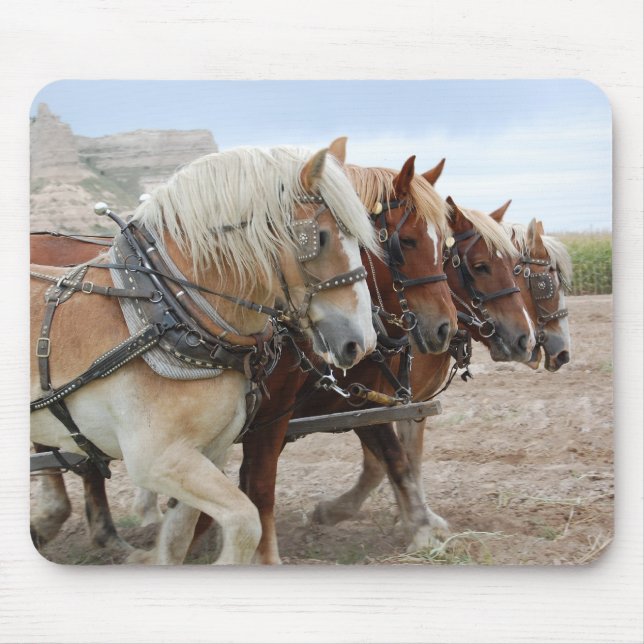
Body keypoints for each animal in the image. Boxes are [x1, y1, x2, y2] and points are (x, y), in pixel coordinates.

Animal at [30, 143, 380, 564]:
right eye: (322, 238)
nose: (361, 342)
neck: (166, 312)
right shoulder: (157, 459)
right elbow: (245, 522)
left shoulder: (210, 452)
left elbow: (178, 539)